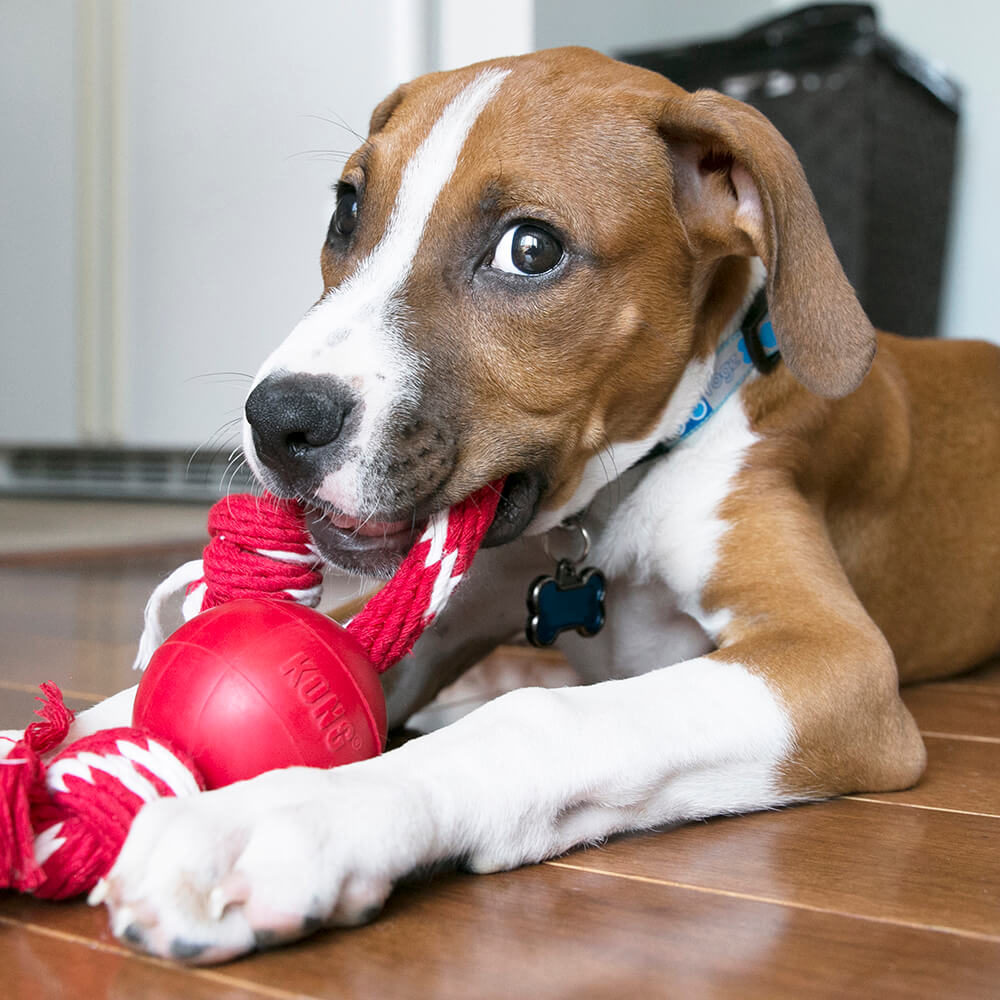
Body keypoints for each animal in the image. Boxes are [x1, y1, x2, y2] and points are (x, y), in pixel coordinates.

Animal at [56, 45, 1000, 960]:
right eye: (347, 211)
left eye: (531, 250)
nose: (280, 419)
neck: (610, 508)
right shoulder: (466, 597)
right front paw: (76, 737)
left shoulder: (837, 660)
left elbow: (542, 720)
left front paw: (279, 816)